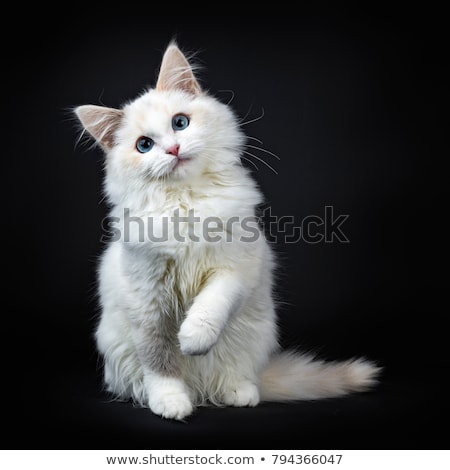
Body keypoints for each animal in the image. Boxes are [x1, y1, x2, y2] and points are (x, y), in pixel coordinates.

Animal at [74, 42, 380, 420]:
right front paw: (171, 401)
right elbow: (160, 360)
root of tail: (203, 390)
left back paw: (239, 393)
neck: (187, 202)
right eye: (144, 145)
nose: (173, 149)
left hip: (253, 333)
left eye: (180, 123)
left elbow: (211, 304)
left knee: (239, 374)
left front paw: (192, 339)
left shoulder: (236, 267)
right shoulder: (147, 299)